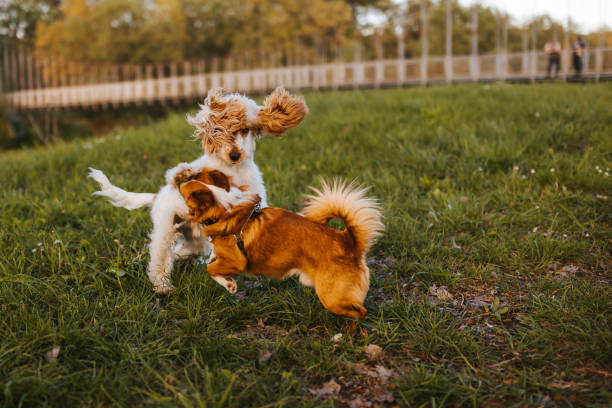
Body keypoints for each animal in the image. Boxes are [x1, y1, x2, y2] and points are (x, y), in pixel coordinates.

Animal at [88, 87, 308, 294]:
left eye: (245, 130)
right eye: (218, 131)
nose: (234, 155)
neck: (233, 170)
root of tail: (157, 196)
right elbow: (181, 174)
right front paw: (185, 173)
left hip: (195, 238)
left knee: (185, 251)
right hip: (165, 229)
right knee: (160, 260)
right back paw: (163, 286)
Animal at [177, 172, 384, 318]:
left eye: (187, 191)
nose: (179, 181)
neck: (225, 205)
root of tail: (349, 241)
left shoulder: (238, 261)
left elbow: (211, 269)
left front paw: (229, 284)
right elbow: (212, 261)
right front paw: (227, 281)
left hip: (331, 298)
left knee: (360, 312)